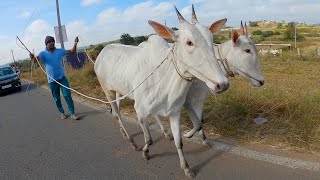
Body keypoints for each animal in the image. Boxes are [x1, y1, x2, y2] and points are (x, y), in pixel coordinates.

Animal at [94, 6, 229, 178]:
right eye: (189, 42)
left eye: (212, 39)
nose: (222, 84)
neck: (166, 80)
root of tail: (102, 52)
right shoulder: (140, 110)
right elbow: (149, 139)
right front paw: (146, 153)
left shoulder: (175, 112)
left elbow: (180, 141)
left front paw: (186, 168)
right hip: (107, 90)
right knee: (117, 114)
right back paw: (132, 141)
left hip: (119, 91)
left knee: (118, 110)